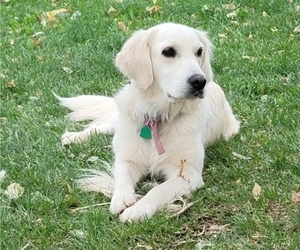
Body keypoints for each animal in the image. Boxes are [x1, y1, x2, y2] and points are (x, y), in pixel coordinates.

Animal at [57, 23, 240, 223]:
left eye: (199, 51)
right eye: (168, 51)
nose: (200, 81)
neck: (158, 117)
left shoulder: (187, 174)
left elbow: (158, 190)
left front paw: (137, 210)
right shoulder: (127, 158)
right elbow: (122, 177)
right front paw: (120, 199)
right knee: (102, 125)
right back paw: (74, 137)